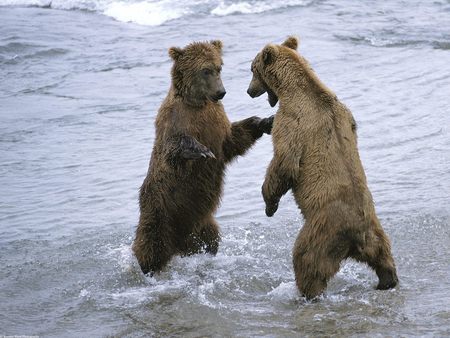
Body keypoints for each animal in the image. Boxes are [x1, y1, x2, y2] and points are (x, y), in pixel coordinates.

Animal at [133, 39, 274, 274]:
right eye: (205, 70)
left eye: (219, 67)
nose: (221, 92)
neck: (198, 103)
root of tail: (179, 246)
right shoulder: (175, 119)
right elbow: (173, 150)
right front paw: (201, 150)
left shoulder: (216, 122)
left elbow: (233, 140)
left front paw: (266, 121)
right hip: (158, 211)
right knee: (150, 244)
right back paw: (148, 268)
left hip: (203, 222)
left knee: (211, 239)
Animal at [248, 36, 400, 298]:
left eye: (252, 69)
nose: (249, 91)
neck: (295, 88)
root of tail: (357, 235)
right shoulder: (346, 114)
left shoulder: (292, 123)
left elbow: (284, 163)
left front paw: (269, 204)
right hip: (375, 230)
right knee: (383, 254)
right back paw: (387, 280)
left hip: (322, 228)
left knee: (307, 259)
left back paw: (307, 293)